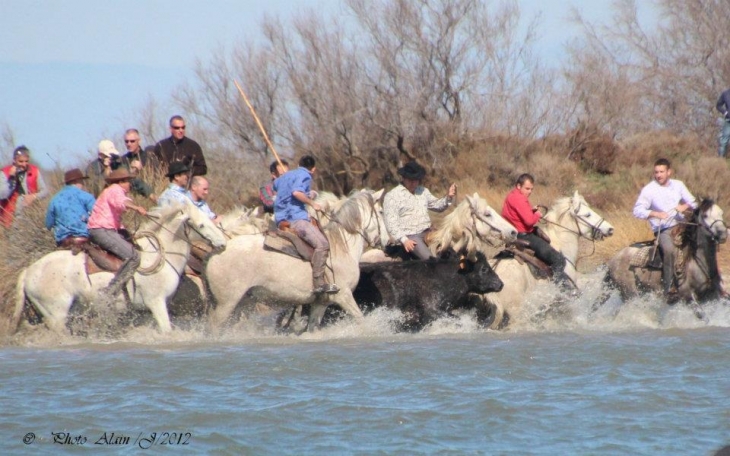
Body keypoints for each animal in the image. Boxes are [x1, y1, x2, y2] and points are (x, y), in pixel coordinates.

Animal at [12, 201, 226, 334]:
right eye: (201, 225)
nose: (223, 243)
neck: (161, 253)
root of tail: (28, 272)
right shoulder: (156, 302)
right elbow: (167, 330)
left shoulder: (143, 312)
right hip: (56, 315)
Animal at [205, 189, 386, 332]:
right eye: (382, 212)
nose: (388, 241)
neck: (342, 246)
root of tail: (216, 251)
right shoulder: (344, 296)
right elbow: (361, 320)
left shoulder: (320, 303)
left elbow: (312, 330)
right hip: (227, 303)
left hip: (243, 302)